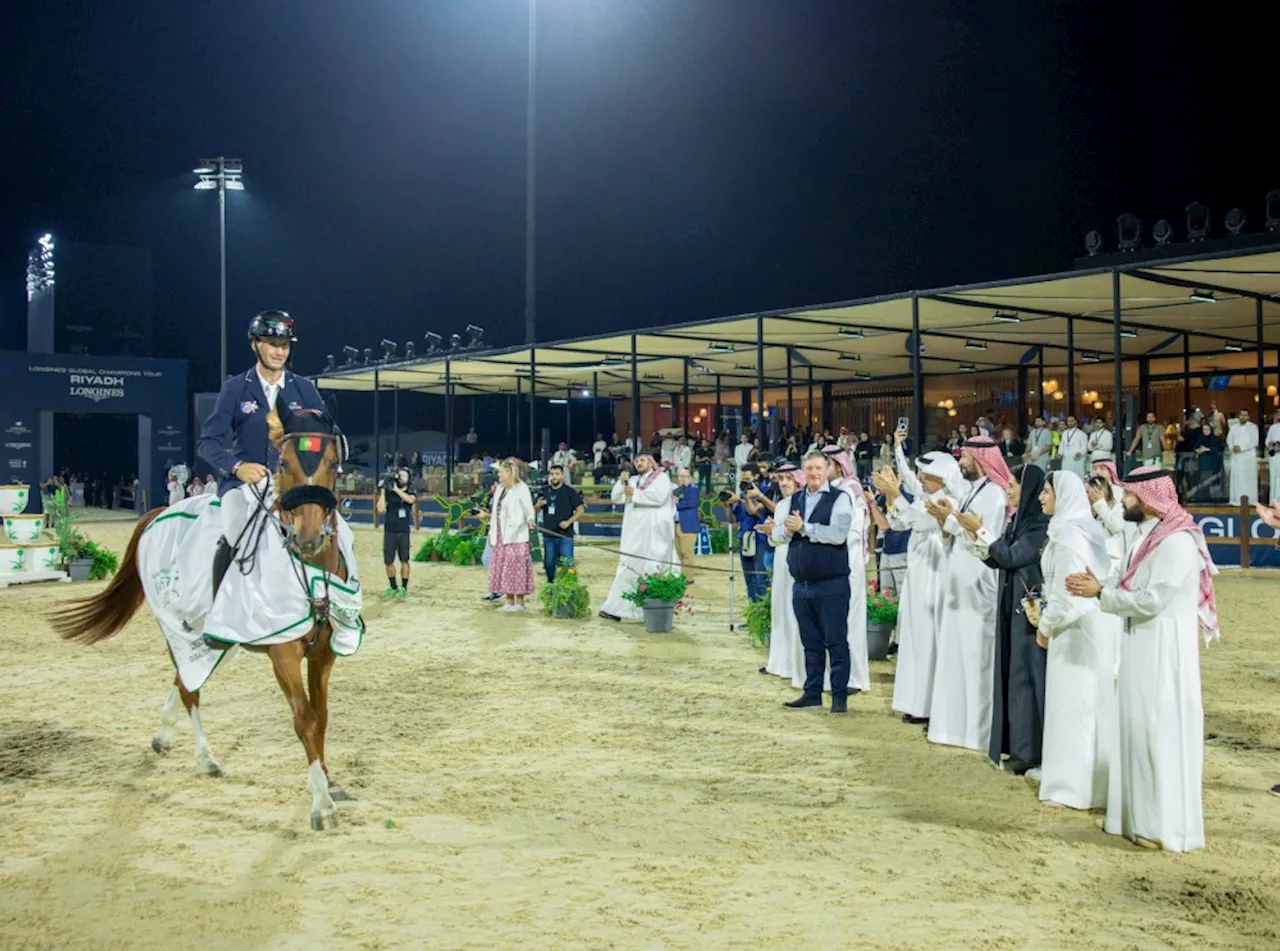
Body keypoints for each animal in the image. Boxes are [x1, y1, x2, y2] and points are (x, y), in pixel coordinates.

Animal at [51, 404, 353, 829]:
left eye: (331, 462)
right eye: (283, 463)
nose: (307, 538)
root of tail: (159, 512)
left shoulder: (324, 654)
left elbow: (322, 716)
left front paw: (329, 781)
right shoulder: (283, 652)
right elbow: (304, 719)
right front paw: (321, 804)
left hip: (218, 640)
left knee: (185, 677)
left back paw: (164, 736)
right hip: (177, 626)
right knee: (189, 688)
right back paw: (205, 758)